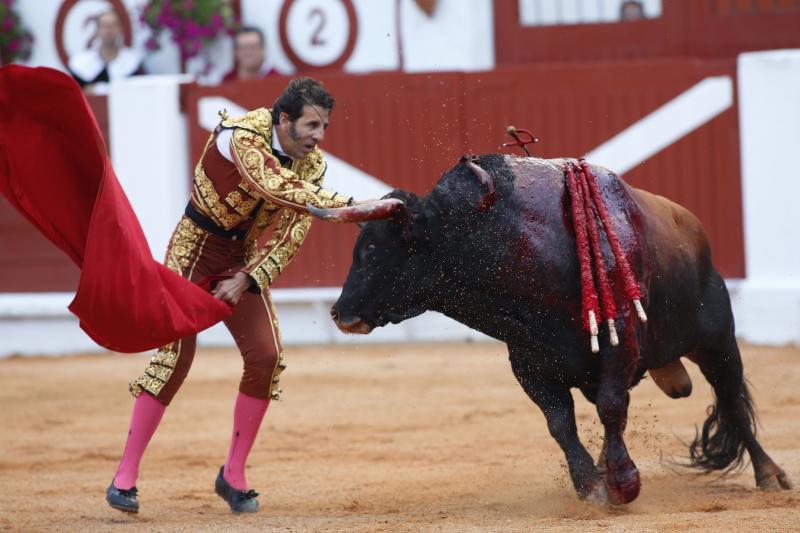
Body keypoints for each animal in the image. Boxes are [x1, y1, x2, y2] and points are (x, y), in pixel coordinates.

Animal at [308, 154, 792, 502]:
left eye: (372, 249)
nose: (339, 313)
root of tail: (693, 227)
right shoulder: (529, 362)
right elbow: (561, 423)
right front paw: (592, 485)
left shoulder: (620, 343)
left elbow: (611, 408)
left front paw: (623, 482)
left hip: (718, 340)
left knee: (731, 399)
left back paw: (771, 475)